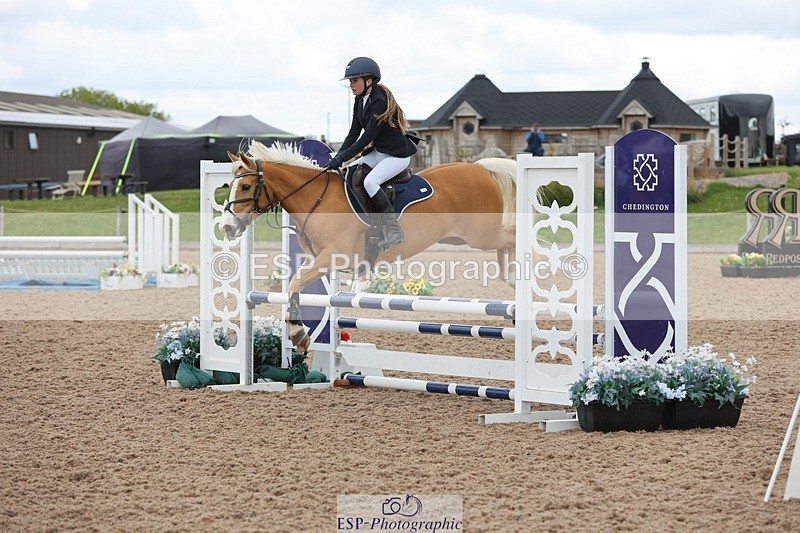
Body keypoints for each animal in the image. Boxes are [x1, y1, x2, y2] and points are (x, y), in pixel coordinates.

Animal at [220, 141, 517, 358]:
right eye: (230, 185)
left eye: (245, 186)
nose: (226, 227)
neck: (316, 198)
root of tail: (481, 168)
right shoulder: (319, 260)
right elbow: (296, 286)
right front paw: (300, 336)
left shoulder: (333, 257)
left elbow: (294, 284)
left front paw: (299, 336)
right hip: (464, 238)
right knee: (505, 244)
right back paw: (510, 282)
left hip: (481, 235)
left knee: (512, 236)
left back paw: (515, 279)